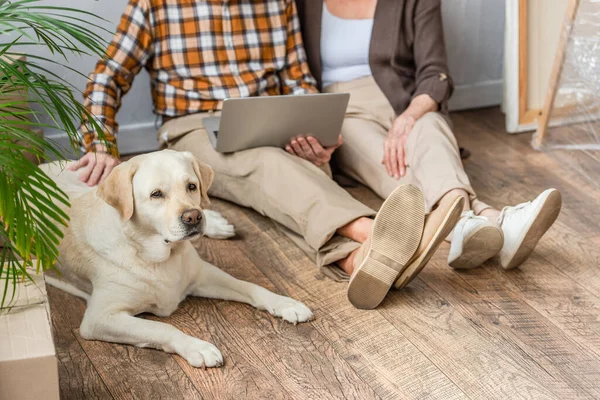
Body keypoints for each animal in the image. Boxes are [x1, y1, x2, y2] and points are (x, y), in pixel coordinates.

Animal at [41, 150, 314, 368]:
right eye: (156, 194)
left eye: (191, 186)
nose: (194, 217)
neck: (157, 254)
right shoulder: (99, 318)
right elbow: (160, 327)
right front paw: (197, 347)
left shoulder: (202, 273)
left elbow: (250, 286)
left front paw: (285, 304)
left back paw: (216, 224)